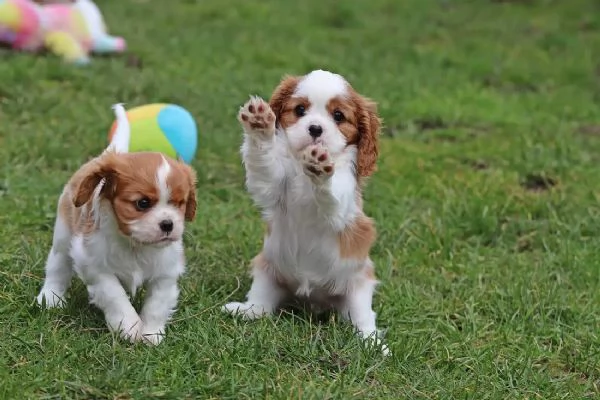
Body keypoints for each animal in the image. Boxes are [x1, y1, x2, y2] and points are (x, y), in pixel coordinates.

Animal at [36, 104, 197, 344]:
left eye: (179, 204)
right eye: (142, 203)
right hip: (63, 236)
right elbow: (114, 294)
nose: (168, 224)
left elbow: (157, 302)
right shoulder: (93, 264)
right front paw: (129, 326)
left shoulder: (166, 272)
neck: (135, 244)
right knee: (57, 266)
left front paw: (151, 333)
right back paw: (51, 298)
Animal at [225, 71, 390, 354]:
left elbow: (331, 193)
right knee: (262, 308)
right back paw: (244, 310)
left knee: (363, 319)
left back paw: (373, 342)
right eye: (300, 110)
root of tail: (314, 300)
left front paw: (320, 166)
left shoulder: (341, 203)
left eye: (338, 116)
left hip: (359, 287)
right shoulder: (272, 185)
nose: (315, 129)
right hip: (267, 270)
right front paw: (260, 125)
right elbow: (264, 162)